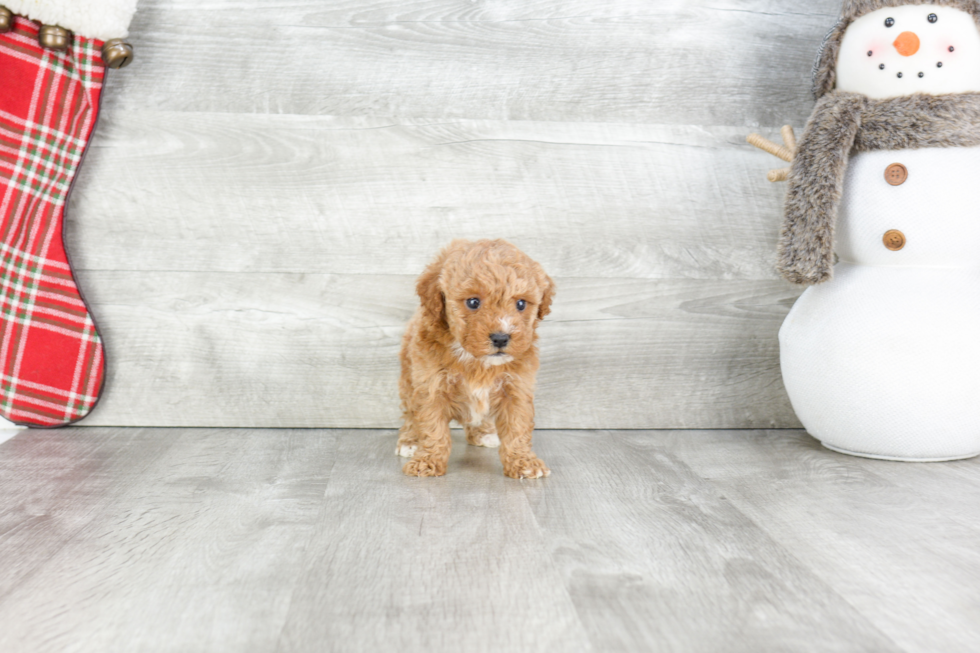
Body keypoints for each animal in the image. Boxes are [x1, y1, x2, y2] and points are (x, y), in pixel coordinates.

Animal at [396, 239, 552, 478]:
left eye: (521, 304)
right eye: (472, 302)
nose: (501, 337)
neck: (476, 360)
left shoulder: (516, 389)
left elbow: (517, 429)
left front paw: (524, 463)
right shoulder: (430, 387)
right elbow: (432, 428)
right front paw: (427, 462)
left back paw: (483, 432)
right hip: (408, 380)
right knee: (410, 414)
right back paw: (409, 441)